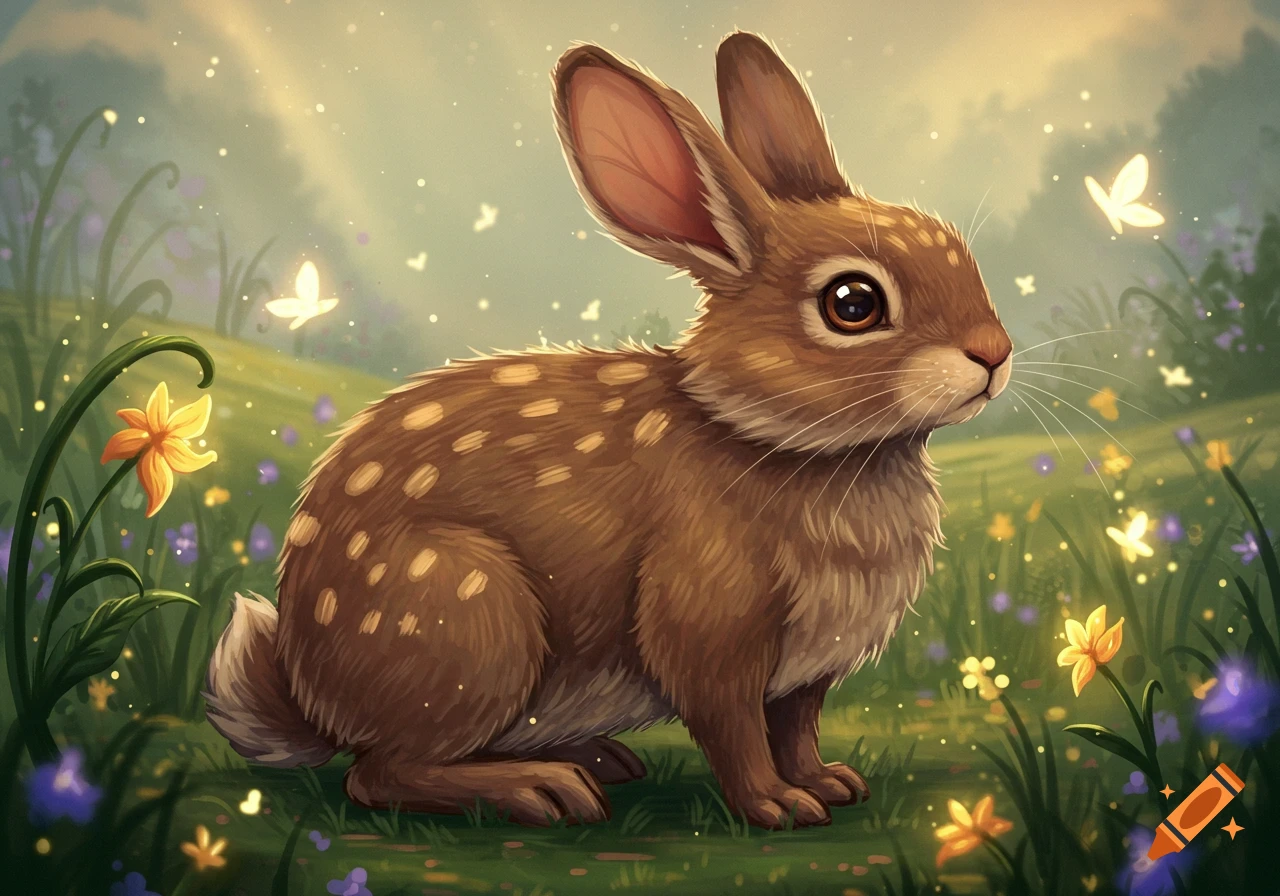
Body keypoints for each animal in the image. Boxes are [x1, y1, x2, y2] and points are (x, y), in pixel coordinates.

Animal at [204, 30, 1012, 830]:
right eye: (853, 303)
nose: (995, 355)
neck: (771, 436)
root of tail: (311, 694)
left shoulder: (808, 671)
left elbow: (797, 728)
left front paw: (831, 784)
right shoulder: (708, 627)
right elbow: (734, 728)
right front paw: (778, 805)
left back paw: (597, 760)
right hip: (468, 617)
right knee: (379, 774)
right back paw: (542, 789)